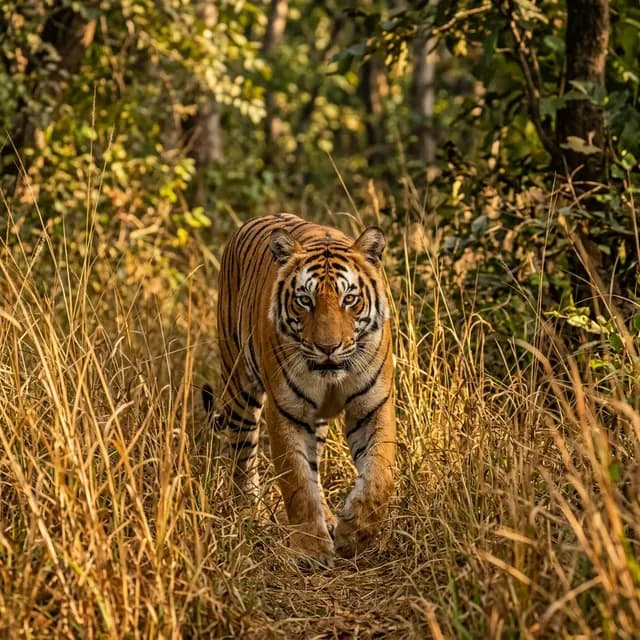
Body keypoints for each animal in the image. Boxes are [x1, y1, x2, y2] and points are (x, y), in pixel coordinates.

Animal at [203, 213, 396, 567]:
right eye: (305, 300)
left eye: (350, 298)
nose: (328, 348)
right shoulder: (286, 411)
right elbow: (296, 482)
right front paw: (312, 549)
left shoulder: (373, 406)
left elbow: (379, 477)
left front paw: (353, 534)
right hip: (239, 386)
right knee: (242, 457)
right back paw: (246, 515)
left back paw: (330, 519)